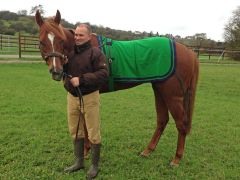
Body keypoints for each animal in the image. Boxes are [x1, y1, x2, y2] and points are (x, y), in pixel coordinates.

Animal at [34, 9, 198, 167]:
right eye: (41, 42)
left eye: (61, 40)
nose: (56, 71)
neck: (82, 49)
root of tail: (188, 51)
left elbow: (86, 125)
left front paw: (86, 151)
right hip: (160, 90)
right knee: (162, 120)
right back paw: (147, 151)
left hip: (173, 95)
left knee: (181, 123)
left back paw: (176, 159)